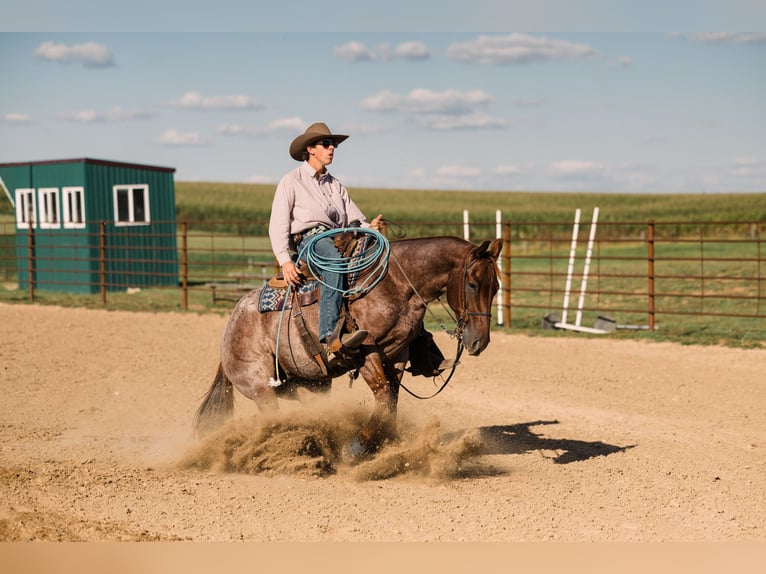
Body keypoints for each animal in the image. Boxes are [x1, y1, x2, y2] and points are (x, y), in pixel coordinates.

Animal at [194, 234, 504, 464]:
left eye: (497, 287)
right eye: (473, 284)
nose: (479, 341)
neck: (394, 284)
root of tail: (232, 322)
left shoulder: (398, 354)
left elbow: (391, 399)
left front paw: (384, 445)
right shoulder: (365, 353)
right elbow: (383, 394)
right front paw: (358, 447)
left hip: (311, 385)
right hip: (260, 387)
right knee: (270, 415)